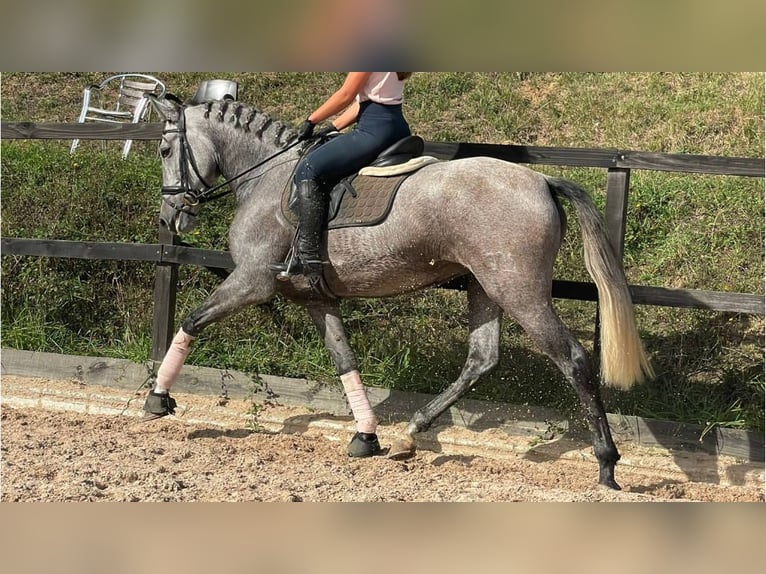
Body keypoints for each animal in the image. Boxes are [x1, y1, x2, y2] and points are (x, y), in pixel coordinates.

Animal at [148, 95, 656, 490]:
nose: (171, 217)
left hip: (518, 289)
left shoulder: (251, 281)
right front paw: (366, 435)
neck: (267, 177)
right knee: (482, 358)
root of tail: (541, 180)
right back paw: (411, 432)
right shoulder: (317, 299)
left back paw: (607, 465)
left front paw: (157, 398)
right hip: (484, 285)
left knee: (572, 359)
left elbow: (191, 320)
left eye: (166, 147)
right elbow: (344, 361)